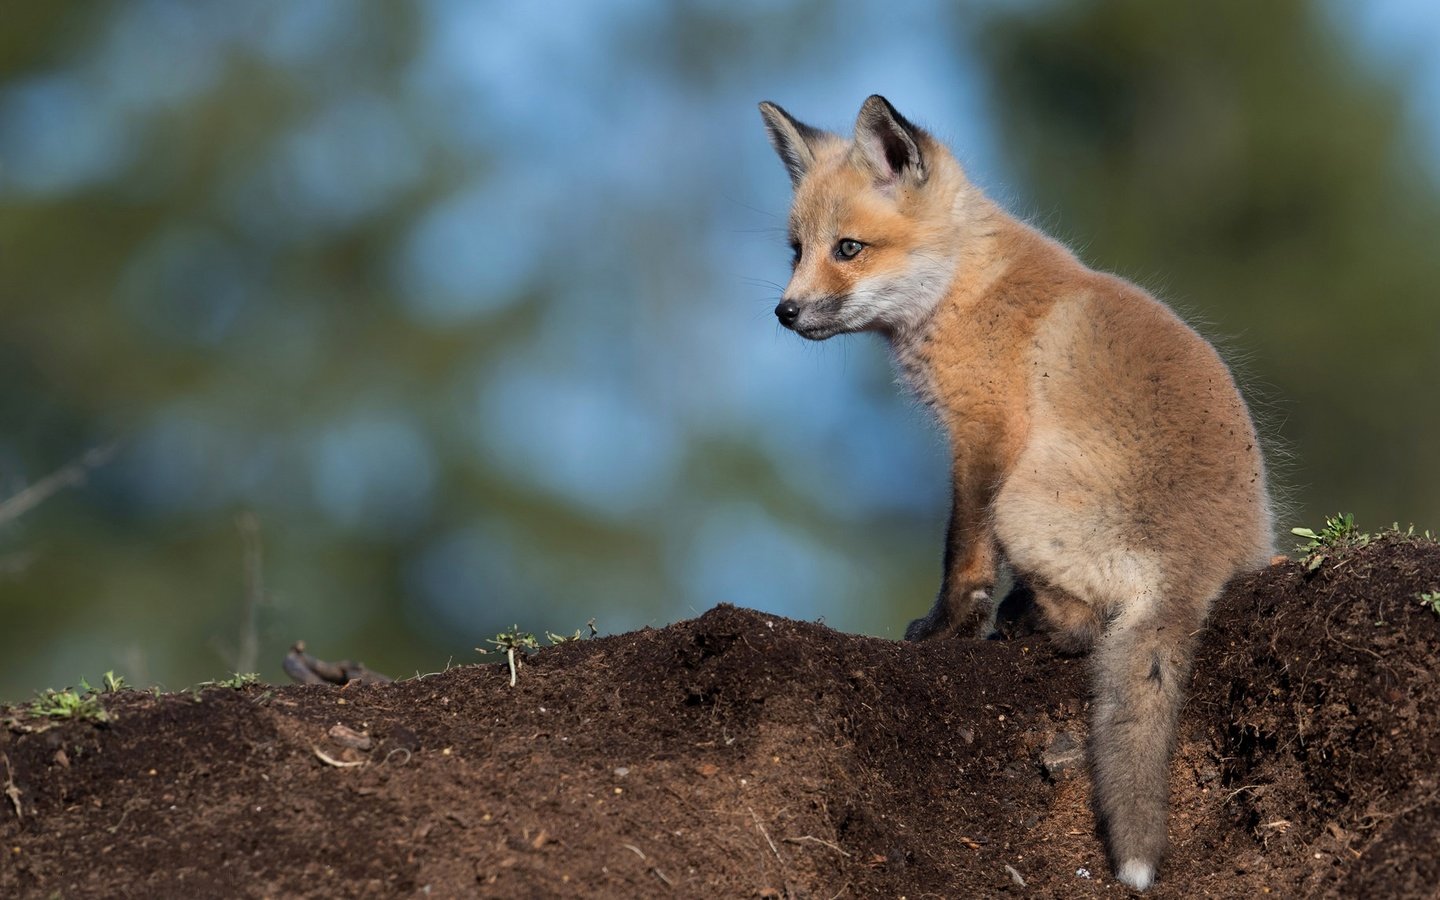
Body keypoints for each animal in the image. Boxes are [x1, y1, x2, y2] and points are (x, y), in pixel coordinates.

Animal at [760, 96, 1267, 887]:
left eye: (847, 249)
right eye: (795, 250)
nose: (784, 311)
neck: (967, 287)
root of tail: (1199, 564)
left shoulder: (985, 432)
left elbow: (962, 554)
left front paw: (947, 630)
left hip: (1023, 499)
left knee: (1088, 629)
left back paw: (1027, 618)